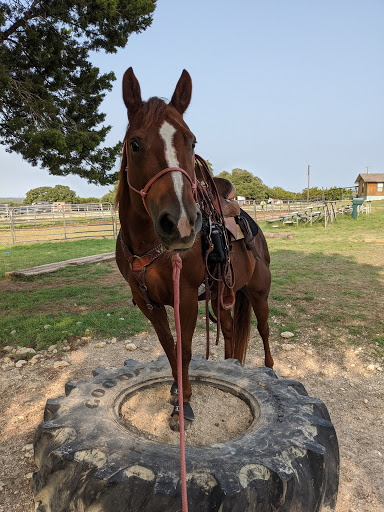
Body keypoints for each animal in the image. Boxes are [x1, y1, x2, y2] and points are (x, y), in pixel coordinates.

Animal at [115, 67, 272, 428]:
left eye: (192, 141)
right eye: (135, 143)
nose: (182, 223)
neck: (149, 245)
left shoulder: (184, 296)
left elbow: (185, 351)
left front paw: (184, 405)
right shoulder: (148, 303)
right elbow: (170, 348)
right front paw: (177, 391)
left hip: (258, 292)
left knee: (263, 329)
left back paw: (271, 369)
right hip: (223, 294)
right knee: (228, 330)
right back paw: (230, 366)